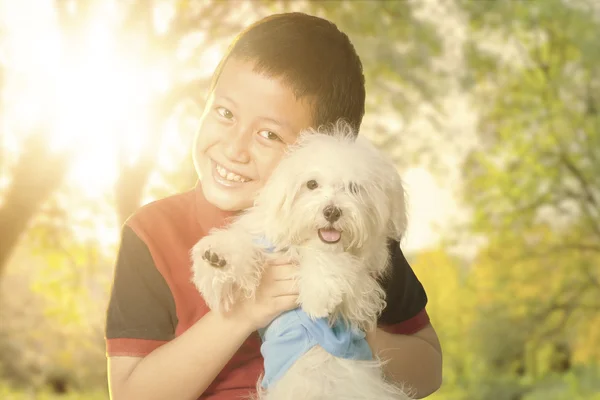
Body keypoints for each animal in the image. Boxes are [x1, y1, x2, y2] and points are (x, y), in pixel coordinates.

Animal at [191, 122, 412, 400]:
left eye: (354, 188)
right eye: (312, 184)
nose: (332, 211)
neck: (303, 242)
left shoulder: (362, 296)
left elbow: (330, 262)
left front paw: (318, 296)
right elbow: (246, 249)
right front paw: (218, 257)